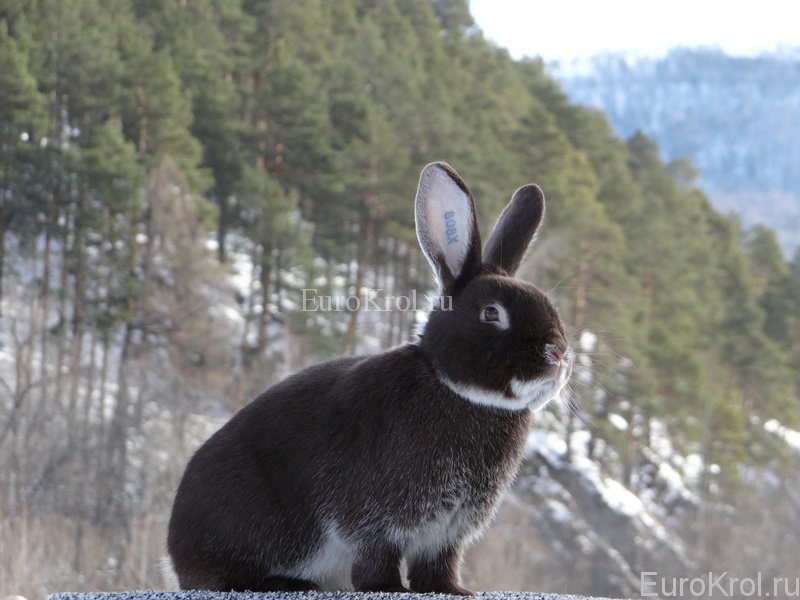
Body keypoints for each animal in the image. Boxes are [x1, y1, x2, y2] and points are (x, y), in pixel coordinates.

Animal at [166, 163, 572, 596]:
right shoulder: (373, 520)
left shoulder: (446, 533)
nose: (558, 354)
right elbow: (376, 558)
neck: (455, 390)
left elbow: (438, 566)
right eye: (492, 314)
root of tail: (176, 554)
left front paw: (453, 589)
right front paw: (391, 587)